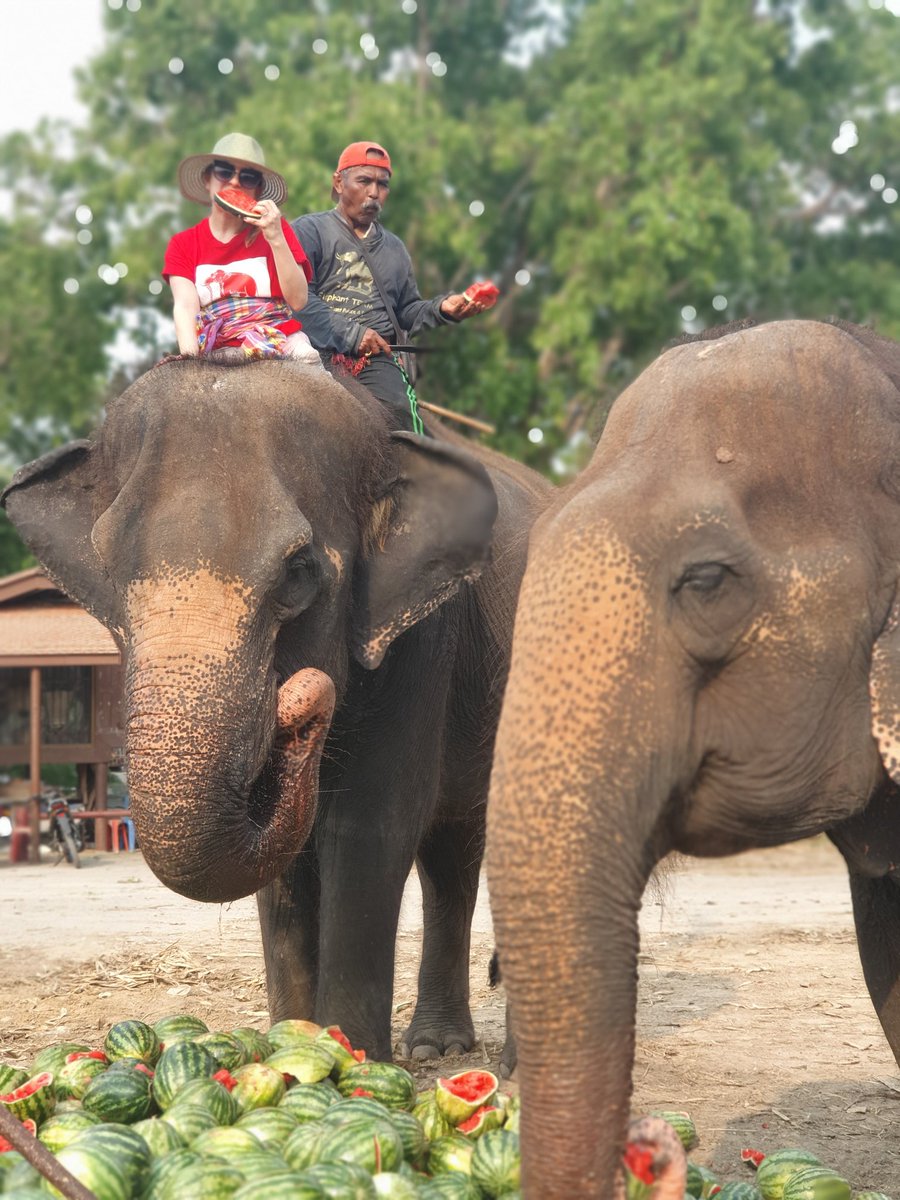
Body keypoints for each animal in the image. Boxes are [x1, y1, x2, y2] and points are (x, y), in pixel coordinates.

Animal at [3, 356, 550, 1062]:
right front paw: (293, 1042)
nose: (302, 706)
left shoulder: (423, 637)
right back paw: (437, 1048)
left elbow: (370, 827)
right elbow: (287, 864)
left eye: (297, 571)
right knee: (451, 849)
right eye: (111, 571)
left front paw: (351, 1058)